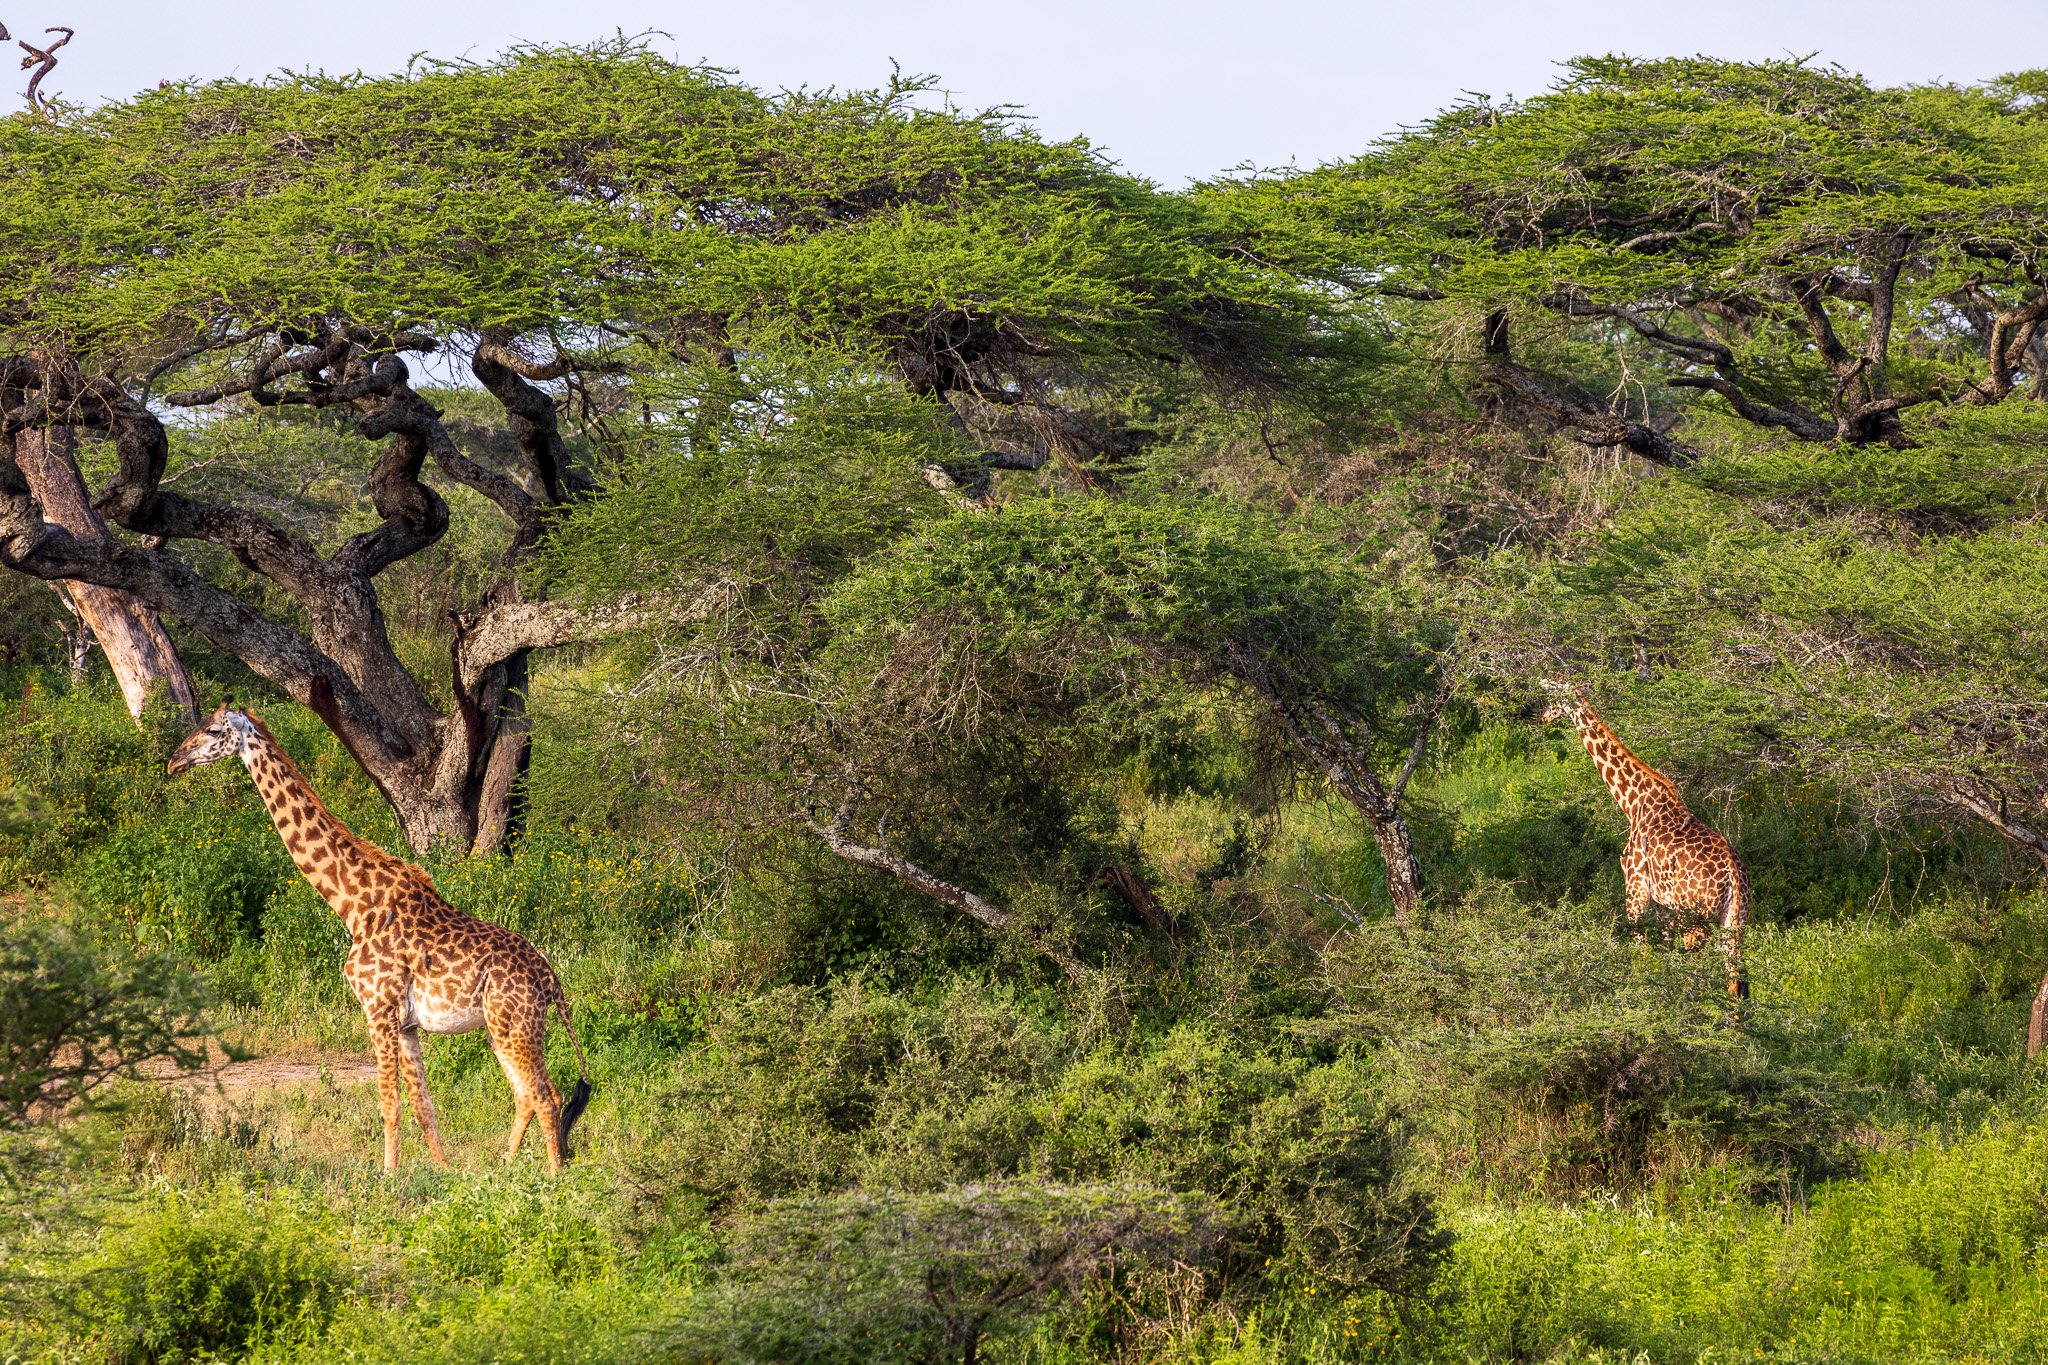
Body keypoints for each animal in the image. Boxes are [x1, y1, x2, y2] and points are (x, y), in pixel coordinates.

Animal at [165, 703, 593, 1178]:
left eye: (212, 731)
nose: (174, 761)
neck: (354, 904)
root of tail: (552, 980)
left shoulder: (378, 1009)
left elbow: (390, 1105)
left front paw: (389, 1177)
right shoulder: (405, 1024)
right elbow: (424, 1107)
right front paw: (444, 1172)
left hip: (513, 1022)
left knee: (546, 1096)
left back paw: (550, 1178)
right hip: (500, 1027)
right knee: (526, 1095)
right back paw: (504, 1167)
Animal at [1540, 683, 1753, 1002]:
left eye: (1555, 697)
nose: (1544, 716)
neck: (1632, 802)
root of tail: (1733, 875)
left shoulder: (1636, 891)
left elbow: (1641, 954)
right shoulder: (1665, 906)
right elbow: (1663, 954)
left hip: (1695, 919)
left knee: (1701, 971)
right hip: (1735, 920)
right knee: (1736, 979)